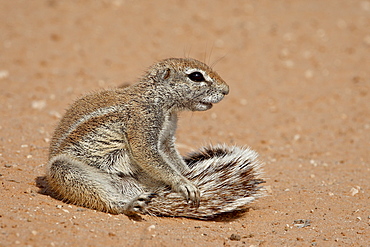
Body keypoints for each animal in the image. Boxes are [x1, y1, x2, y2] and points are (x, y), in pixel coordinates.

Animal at [46, 57, 264, 218]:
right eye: (196, 76)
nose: (226, 90)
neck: (162, 104)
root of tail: (137, 189)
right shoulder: (142, 122)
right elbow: (146, 153)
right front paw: (183, 183)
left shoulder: (166, 138)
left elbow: (172, 157)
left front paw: (188, 173)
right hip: (64, 170)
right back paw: (128, 205)